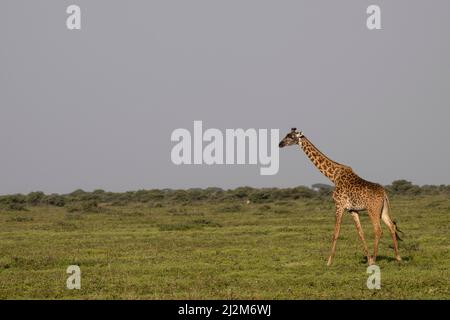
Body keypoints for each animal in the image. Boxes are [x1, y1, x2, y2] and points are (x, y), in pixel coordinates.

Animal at [280, 127, 402, 264]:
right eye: (287, 135)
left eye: (291, 136)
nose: (280, 144)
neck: (333, 176)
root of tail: (384, 193)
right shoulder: (352, 210)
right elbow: (360, 232)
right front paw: (369, 259)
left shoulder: (339, 205)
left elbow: (336, 232)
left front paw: (328, 262)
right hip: (383, 210)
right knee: (391, 226)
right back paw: (398, 258)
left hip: (373, 210)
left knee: (378, 230)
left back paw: (376, 259)